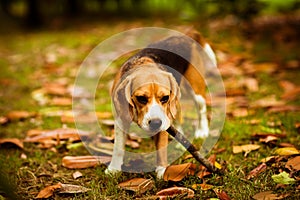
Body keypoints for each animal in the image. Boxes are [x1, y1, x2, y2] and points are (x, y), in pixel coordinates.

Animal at [106, 30, 217, 178]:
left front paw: (162, 170)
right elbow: (118, 147)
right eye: (141, 98)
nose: (155, 123)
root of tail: (184, 35)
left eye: (164, 98)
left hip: (194, 92)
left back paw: (202, 131)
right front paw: (114, 168)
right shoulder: (120, 119)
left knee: (201, 110)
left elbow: (161, 148)